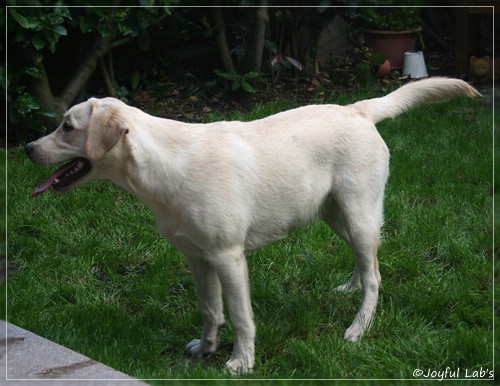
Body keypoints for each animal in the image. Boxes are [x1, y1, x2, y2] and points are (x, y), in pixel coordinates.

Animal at [25, 77, 478, 370]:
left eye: (67, 126)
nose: (27, 147)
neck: (165, 166)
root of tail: (357, 109)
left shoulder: (228, 257)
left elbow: (241, 317)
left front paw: (240, 361)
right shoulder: (197, 258)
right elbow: (210, 310)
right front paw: (204, 350)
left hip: (359, 212)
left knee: (375, 276)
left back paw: (358, 327)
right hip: (336, 214)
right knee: (364, 262)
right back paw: (348, 287)